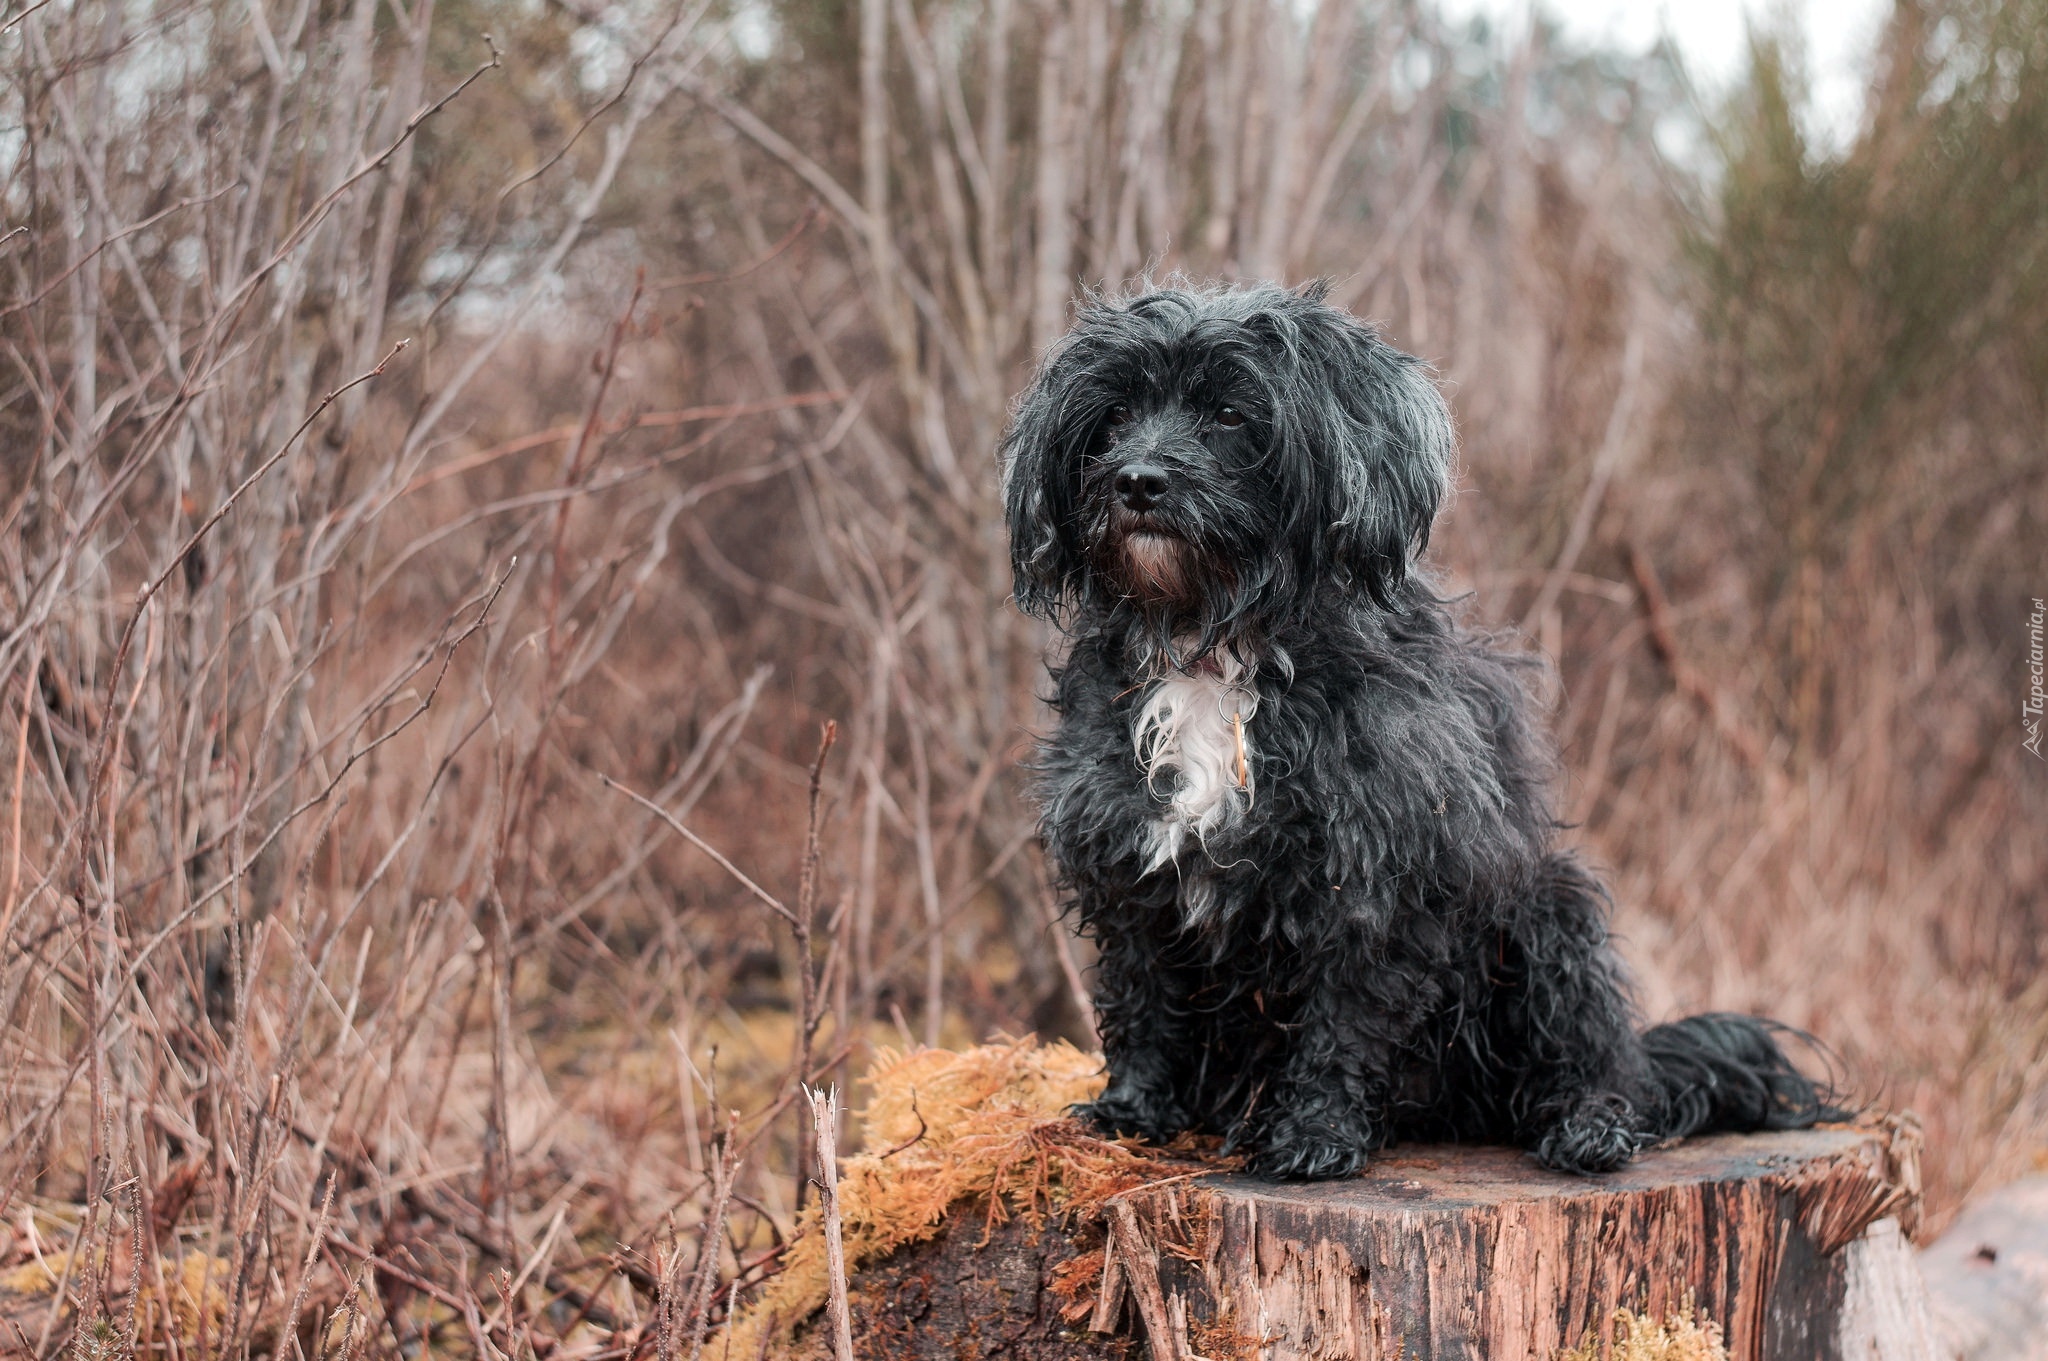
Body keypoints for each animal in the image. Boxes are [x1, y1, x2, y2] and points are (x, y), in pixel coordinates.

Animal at [999, 280, 1835, 1187]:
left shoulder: (1379, 877)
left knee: (1593, 1060)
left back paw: (1589, 1126)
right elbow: (1144, 997)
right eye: (1115, 413)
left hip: (1551, 911)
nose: (1137, 480)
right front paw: (1132, 1111)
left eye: (1228, 411)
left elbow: (1343, 1020)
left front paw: (1314, 1134)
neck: (1210, 646)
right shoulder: (1126, 865)